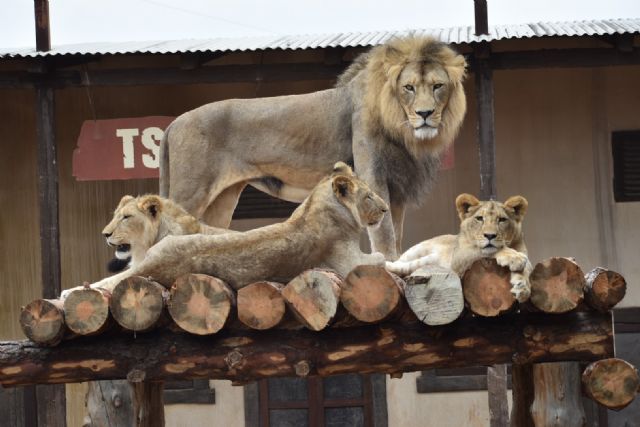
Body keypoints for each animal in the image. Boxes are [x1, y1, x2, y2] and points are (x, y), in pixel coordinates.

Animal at [159, 35, 467, 260]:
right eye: (409, 87)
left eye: (438, 86)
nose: (425, 114)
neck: (402, 129)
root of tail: (172, 123)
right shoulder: (374, 176)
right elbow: (385, 235)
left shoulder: (398, 186)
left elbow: (397, 234)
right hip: (191, 191)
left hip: (222, 199)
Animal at [386, 193, 532, 302]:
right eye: (480, 218)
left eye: (502, 220)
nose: (489, 235)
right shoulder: (459, 257)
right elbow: (488, 250)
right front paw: (514, 257)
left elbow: (526, 269)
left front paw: (523, 287)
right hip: (415, 251)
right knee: (399, 263)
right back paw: (383, 262)